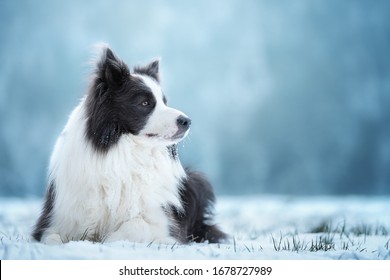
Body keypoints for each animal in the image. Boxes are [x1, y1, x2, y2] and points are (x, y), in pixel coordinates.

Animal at [33, 46, 227, 245]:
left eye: (165, 102)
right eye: (145, 103)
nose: (187, 121)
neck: (125, 150)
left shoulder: (163, 223)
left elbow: (130, 228)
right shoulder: (54, 221)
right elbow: (51, 238)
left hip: (197, 181)